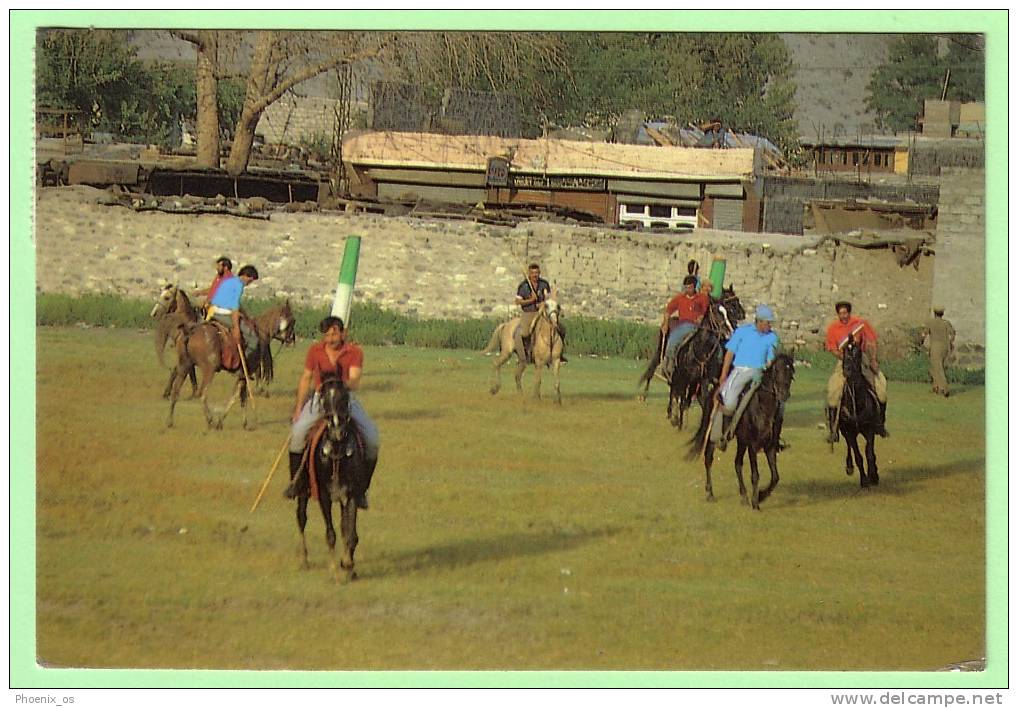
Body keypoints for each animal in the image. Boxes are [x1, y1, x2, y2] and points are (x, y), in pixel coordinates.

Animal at [163, 301, 295, 429]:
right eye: (293, 320)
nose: (292, 340)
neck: (260, 333)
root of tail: (190, 332)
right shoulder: (244, 374)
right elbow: (238, 396)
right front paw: (224, 421)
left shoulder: (242, 375)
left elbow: (241, 397)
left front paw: (242, 422)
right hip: (208, 370)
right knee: (202, 393)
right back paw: (210, 421)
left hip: (184, 366)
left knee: (175, 391)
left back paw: (170, 421)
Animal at [293, 376, 372, 582]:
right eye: (324, 401)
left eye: (345, 398)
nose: (337, 431)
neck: (337, 451)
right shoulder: (324, 496)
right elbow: (331, 534)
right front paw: (335, 570)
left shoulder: (351, 494)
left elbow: (350, 533)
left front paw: (348, 566)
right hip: (303, 491)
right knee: (301, 517)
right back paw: (303, 559)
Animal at [684, 352, 794, 509]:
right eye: (776, 370)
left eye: (791, 372)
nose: (783, 394)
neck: (763, 408)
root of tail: (713, 391)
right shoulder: (753, 446)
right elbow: (755, 475)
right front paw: (755, 502)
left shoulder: (770, 446)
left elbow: (775, 477)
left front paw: (761, 495)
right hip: (714, 437)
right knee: (709, 459)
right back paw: (710, 493)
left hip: (742, 441)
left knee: (737, 463)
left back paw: (743, 496)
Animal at [834, 338, 883, 486]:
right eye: (844, 353)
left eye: (858, 353)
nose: (847, 370)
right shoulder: (849, 432)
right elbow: (858, 456)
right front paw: (864, 480)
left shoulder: (869, 429)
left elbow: (869, 453)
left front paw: (873, 476)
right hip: (845, 432)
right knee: (849, 447)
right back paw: (849, 467)